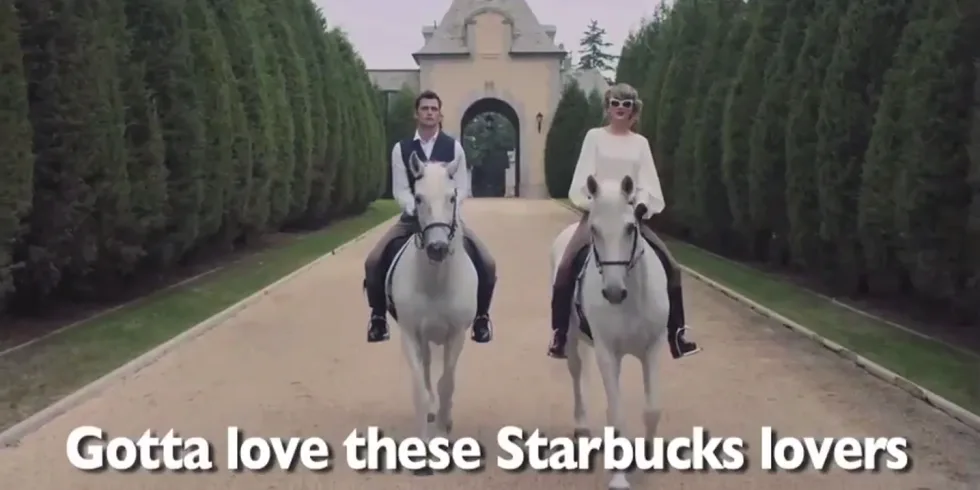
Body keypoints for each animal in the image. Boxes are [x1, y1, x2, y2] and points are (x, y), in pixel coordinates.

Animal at [386, 152, 479, 471]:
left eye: (452, 197)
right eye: (419, 197)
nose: (437, 248)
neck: (435, 282)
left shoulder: (456, 335)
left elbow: (446, 385)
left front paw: (442, 432)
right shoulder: (411, 335)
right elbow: (421, 389)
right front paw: (423, 444)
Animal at [550, 174, 670, 489]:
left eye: (630, 227)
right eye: (594, 228)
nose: (614, 292)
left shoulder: (653, 349)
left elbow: (652, 409)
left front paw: (648, 460)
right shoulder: (607, 352)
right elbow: (616, 414)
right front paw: (619, 477)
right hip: (571, 341)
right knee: (577, 374)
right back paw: (581, 427)